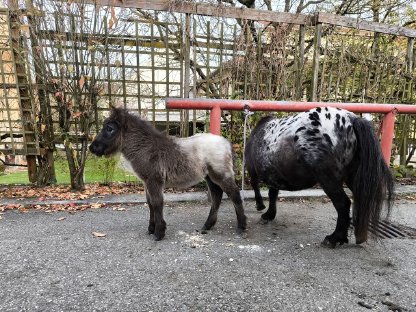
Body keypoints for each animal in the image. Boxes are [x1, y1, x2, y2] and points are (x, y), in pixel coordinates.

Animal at [90, 108, 247, 241]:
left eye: (110, 129)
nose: (92, 148)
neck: (145, 147)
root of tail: (226, 143)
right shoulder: (147, 182)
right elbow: (150, 203)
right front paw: (151, 228)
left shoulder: (154, 180)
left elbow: (157, 203)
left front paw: (159, 233)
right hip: (210, 177)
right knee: (217, 196)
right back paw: (207, 225)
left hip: (220, 175)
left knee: (234, 194)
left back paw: (241, 226)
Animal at [245, 107, 394, 249]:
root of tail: (352, 120)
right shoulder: (273, 175)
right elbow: (272, 194)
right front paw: (269, 214)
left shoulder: (254, 171)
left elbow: (257, 187)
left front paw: (261, 207)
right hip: (353, 177)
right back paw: (360, 235)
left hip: (328, 179)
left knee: (343, 204)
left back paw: (334, 238)